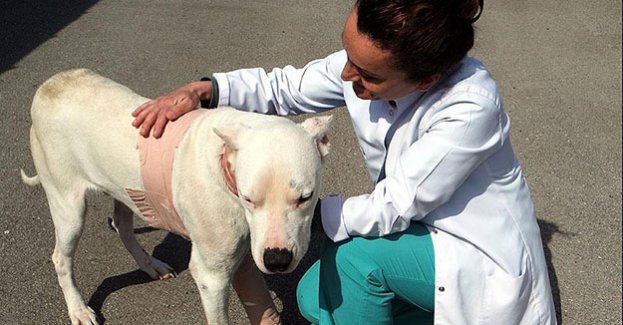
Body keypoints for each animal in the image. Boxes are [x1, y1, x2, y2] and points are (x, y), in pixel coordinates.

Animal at [19, 69, 332, 324]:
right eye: (249, 199)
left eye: (306, 197)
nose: (276, 260)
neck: (224, 160)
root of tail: (48, 86)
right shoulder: (212, 276)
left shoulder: (242, 255)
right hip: (68, 206)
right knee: (61, 258)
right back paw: (79, 309)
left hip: (124, 188)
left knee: (122, 225)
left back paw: (150, 265)